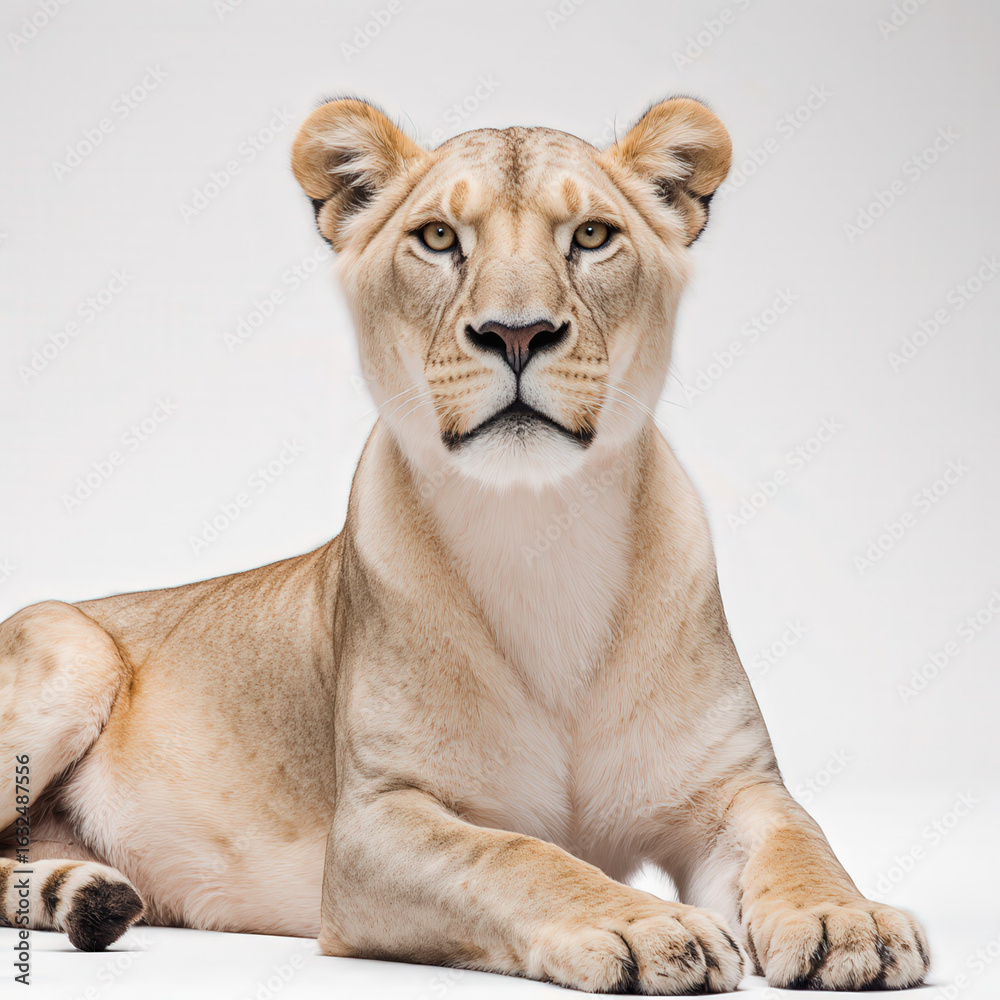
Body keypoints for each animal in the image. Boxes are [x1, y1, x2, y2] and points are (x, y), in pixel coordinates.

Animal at [0, 96, 929, 993]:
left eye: (592, 235)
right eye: (439, 237)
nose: (517, 333)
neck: (539, 533)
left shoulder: (734, 786)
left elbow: (800, 836)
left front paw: (849, 923)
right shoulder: (372, 828)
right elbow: (514, 855)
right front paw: (643, 926)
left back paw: (92, 895)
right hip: (70, 647)